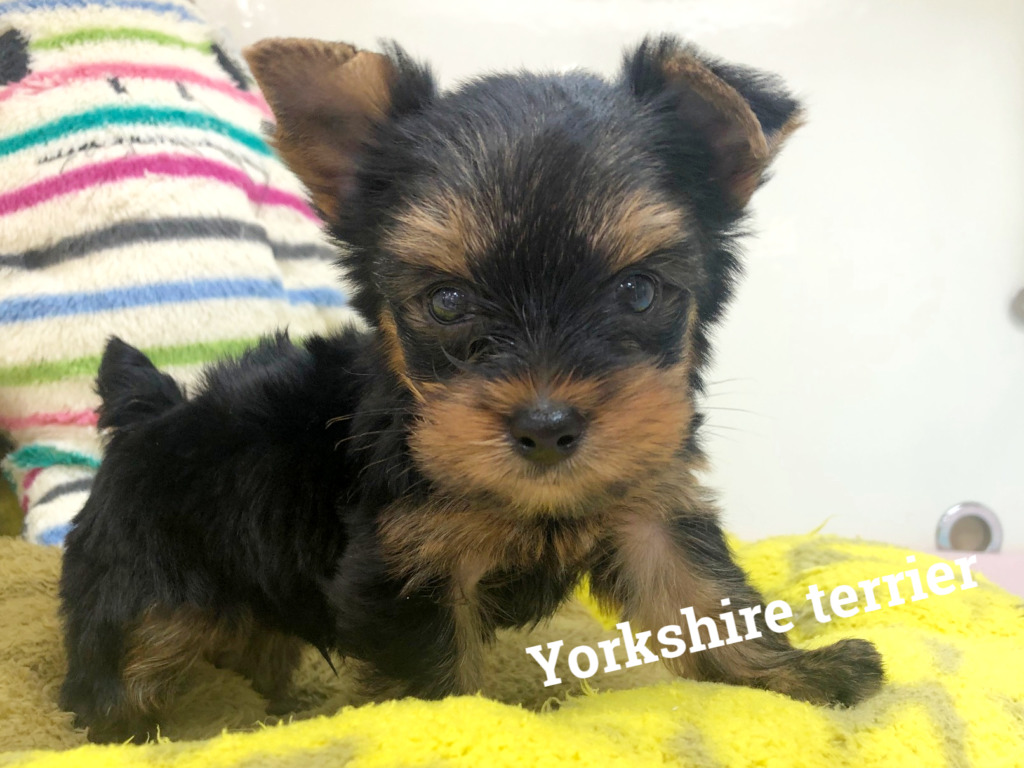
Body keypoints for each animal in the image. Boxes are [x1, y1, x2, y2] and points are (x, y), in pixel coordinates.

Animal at [58, 35, 884, 742]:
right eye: (449, 302)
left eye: (638, 292)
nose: (547, 427)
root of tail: (152, 409)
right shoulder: (409, 565)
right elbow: (436, 682)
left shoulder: (649, 500)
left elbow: (706, 597)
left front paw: (798, 675)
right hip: (138, 584)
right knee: (123, 666)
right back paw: (131, 728)